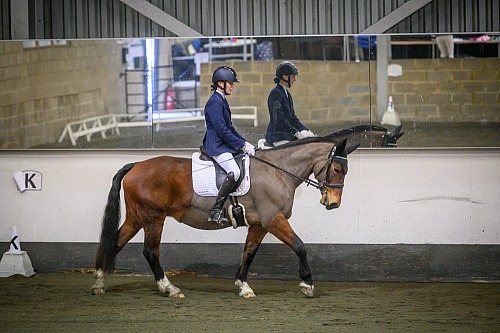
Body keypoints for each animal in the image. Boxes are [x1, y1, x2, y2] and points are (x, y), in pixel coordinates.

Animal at [92, 136, 360, 296]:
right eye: (337, 169)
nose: (333, 203)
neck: (278, 172)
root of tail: (136, 165)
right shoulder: (273, 219)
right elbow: (299, 246)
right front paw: (307, 283)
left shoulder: (259, 225)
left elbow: (249, 252)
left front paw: (243, 286)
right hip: (153, 218)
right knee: (150, 251)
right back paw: (169, 288)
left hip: (137, 217)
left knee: (114, 243)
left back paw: (99, 283)